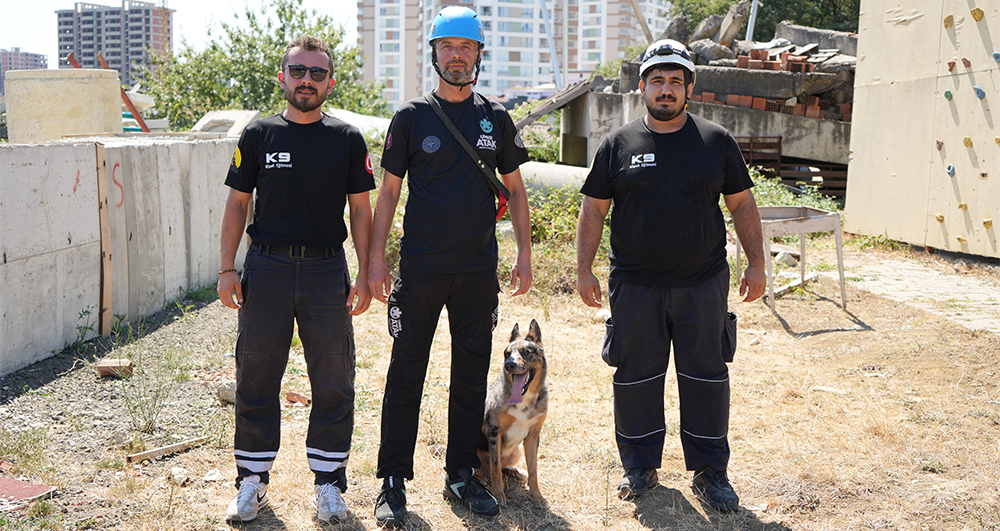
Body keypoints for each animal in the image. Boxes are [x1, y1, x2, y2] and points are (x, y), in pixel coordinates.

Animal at [474, 318, 548, 510]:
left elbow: (533, 470)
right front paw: (498, 494)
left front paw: (537, 497)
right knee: (484, 469)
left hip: (517, 451)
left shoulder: (532, 436)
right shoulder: (495, 432)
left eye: (526, 352)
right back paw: (481, 478)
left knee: (503, 467)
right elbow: (495, 468)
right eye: (506, 354)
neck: (524, 399)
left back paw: (515, 471)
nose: (509, 365)